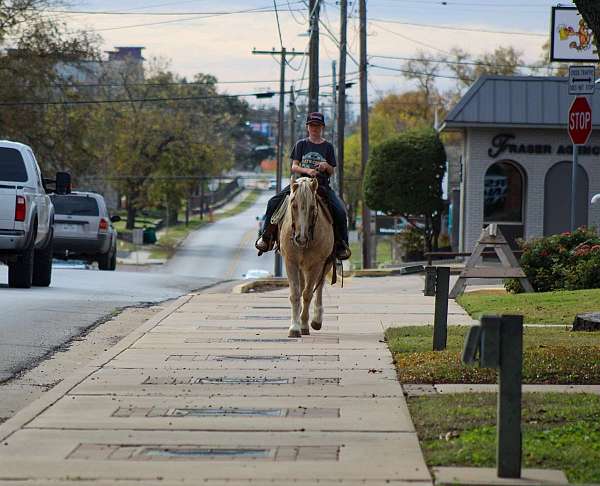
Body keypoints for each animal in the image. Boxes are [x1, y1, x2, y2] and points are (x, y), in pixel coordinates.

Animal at [278, 178, 336, 338]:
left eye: (312, 207)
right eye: (294, 205)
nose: (301, 238)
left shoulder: (317, 264)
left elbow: (308, 294)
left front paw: (303, 325)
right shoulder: (290, 262)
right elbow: (295, 294)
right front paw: (294, 327)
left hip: (325, 263)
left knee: (319, 286)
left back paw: (316, 320)